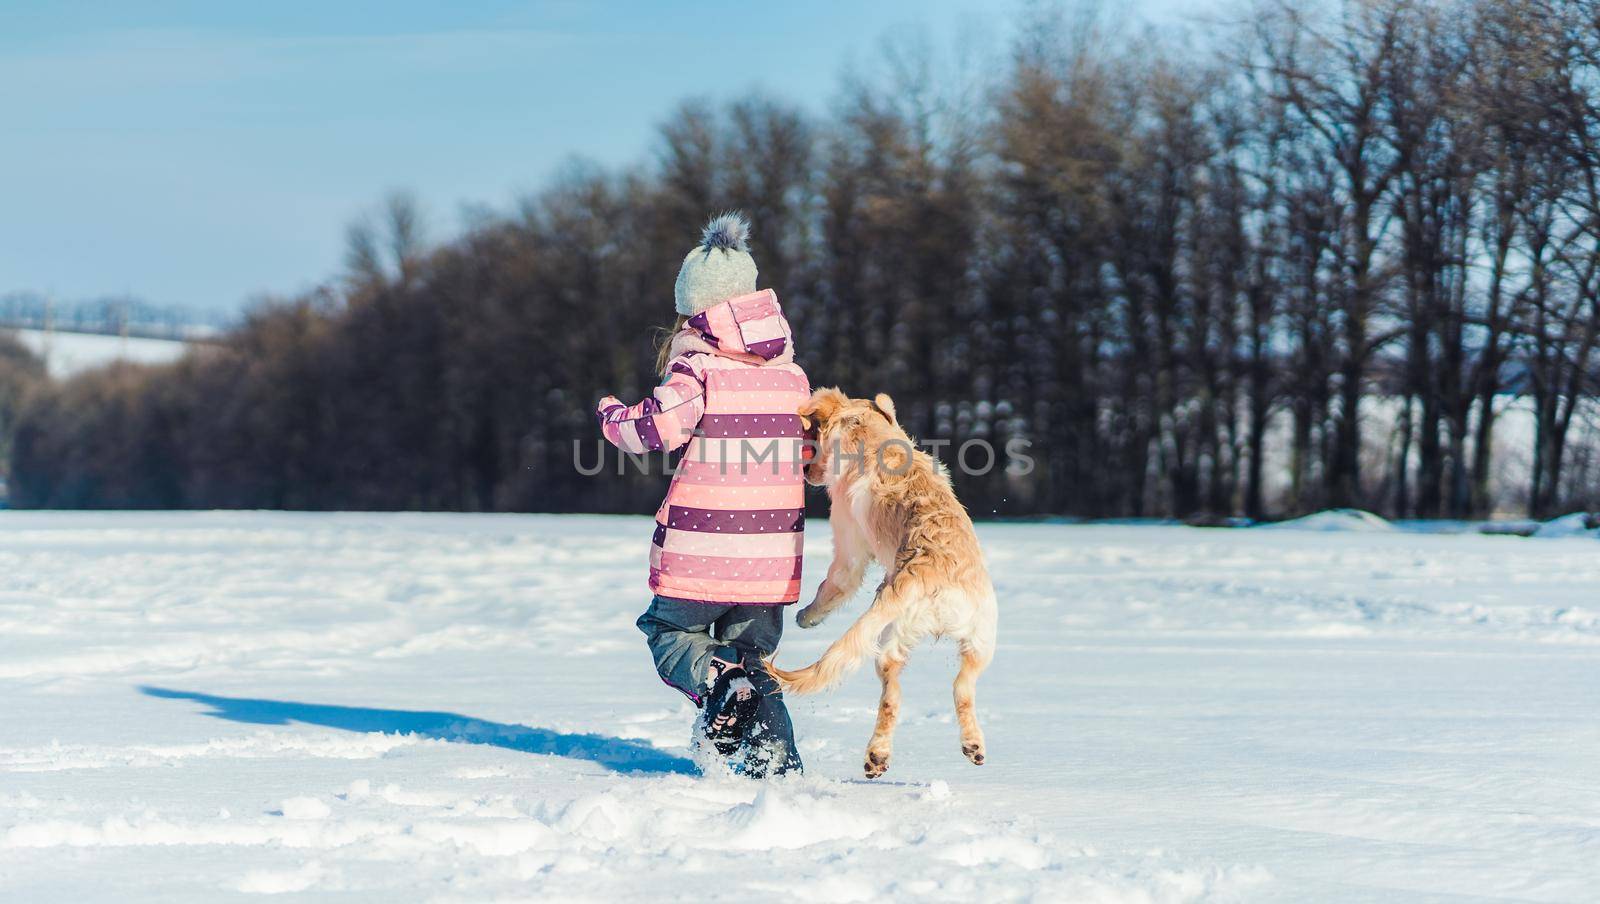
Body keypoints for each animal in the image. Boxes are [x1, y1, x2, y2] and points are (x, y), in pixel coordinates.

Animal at [768, 387, 992, 774]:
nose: (805, 470)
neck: (870, 433)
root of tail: (933, 573)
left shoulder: (847, 542)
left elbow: (835, 583)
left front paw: (807, 616)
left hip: (891, 633)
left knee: (892, 696)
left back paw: (876, 755)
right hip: (976, 641)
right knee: (960, 688)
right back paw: (971, 745)